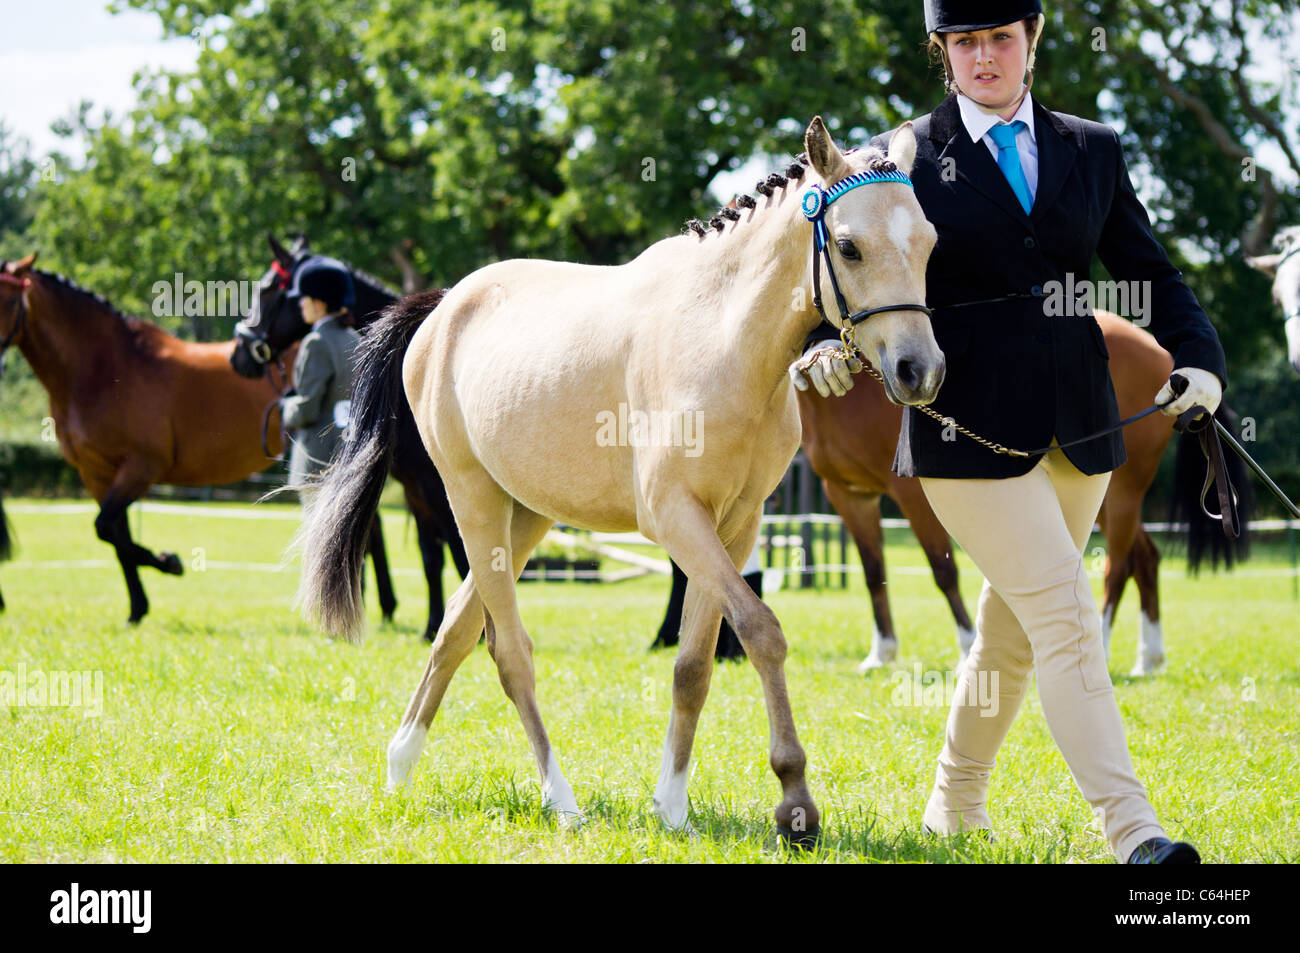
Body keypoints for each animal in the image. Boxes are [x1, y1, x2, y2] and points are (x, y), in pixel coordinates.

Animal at [0, 255, 294, 623]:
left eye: (10, 301)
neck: (103, 367)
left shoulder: (141, 467)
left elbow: (107, 529)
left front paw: (169, 562)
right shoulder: (96, 472)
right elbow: (115, 535)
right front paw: (137, 608)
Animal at [231, 235, 469, 641]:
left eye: (266, 289)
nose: (238, 356)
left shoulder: (436, 484)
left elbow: (458, 549)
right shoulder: (415, 486)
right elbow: (430, 555)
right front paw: (432, 626)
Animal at [295, 118, 944, 841]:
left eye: (928, 242)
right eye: (852, 247)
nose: (920, 370)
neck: (720, 339)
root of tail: (442, 309)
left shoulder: (735, 526)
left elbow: (693, 664)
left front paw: (673, 805)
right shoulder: (677, 519)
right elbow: (761, 631)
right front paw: (794, 801)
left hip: (528, 514)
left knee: (455, 631)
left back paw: (401, 764)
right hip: (472, 501)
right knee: (508, 651)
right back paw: (561, 800)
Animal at [799, 309, 1250, 676]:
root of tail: (1165, 359)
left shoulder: (909, 493)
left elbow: (943, 570)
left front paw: (966, 650)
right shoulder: (849, 495)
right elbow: (873, 572)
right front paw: (881, 654)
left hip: (1119, 490)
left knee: (1119, 565)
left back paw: (1103, 649)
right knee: (1146, 558)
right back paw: (1148, 660)